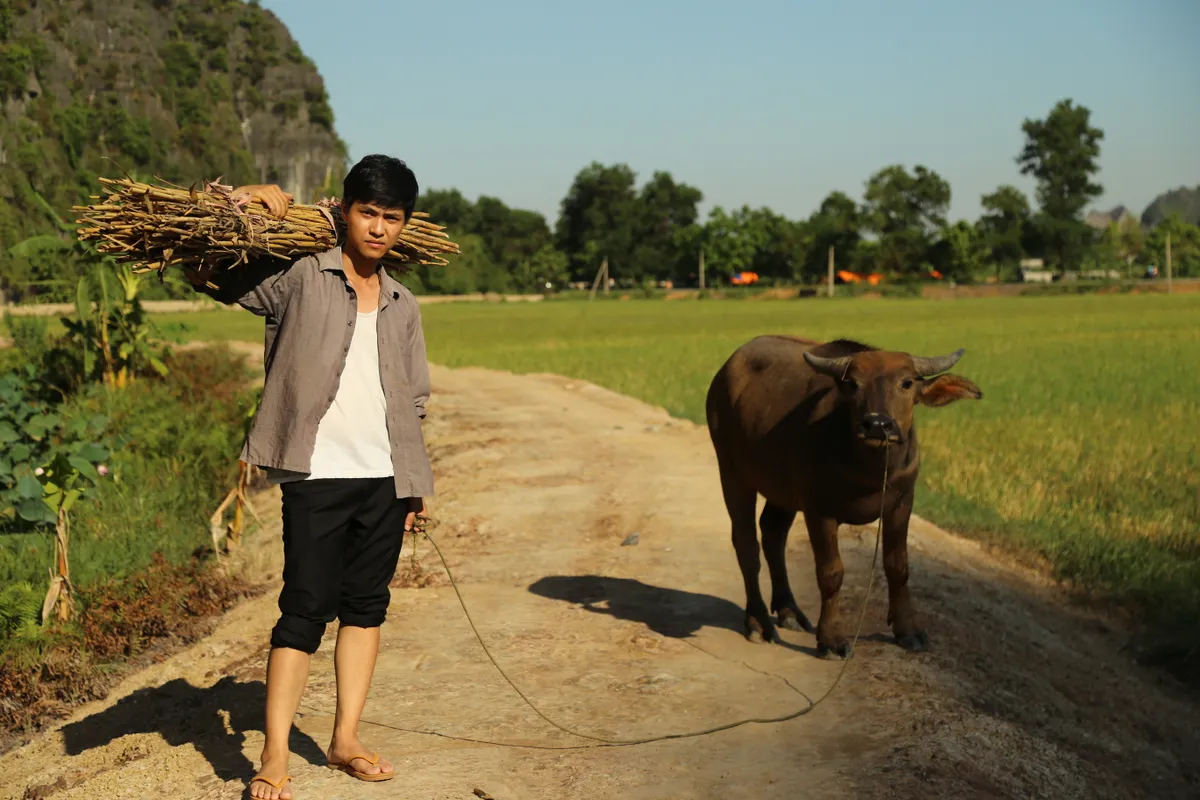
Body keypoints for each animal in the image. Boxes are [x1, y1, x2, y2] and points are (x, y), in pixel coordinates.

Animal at [705, 338, 979, 657]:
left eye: (907, 383)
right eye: (853, 384)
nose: (877, 424)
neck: (871, 470)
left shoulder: (902, 503)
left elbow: (898, 566)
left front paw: (908, 631)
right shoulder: (819, 510)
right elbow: (831, 572)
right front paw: (832, 638)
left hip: (782, 490)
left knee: (773, 533)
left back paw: (789, 611)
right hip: (732, 472)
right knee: (747, 545)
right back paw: (759, 622)